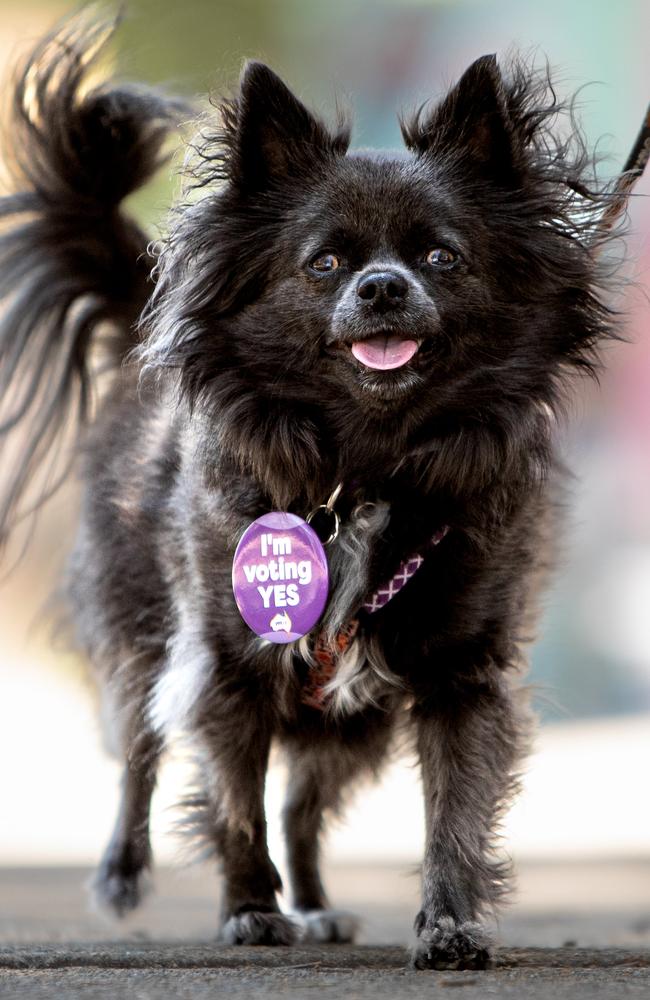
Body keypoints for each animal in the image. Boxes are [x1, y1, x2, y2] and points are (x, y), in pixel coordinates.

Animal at [0, 11, 624, 972]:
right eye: (324, 264)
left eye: (442, 257)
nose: (384, 284)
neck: (361, 469)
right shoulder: (224, 667)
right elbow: (233, 801)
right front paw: (252, 910)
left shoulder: (463, 677)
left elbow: (454, 811)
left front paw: (448, 923)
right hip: (139, 638)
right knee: (141, 751)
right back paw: (122, 872)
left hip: (349, 724)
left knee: (301, 807)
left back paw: (320, 904)